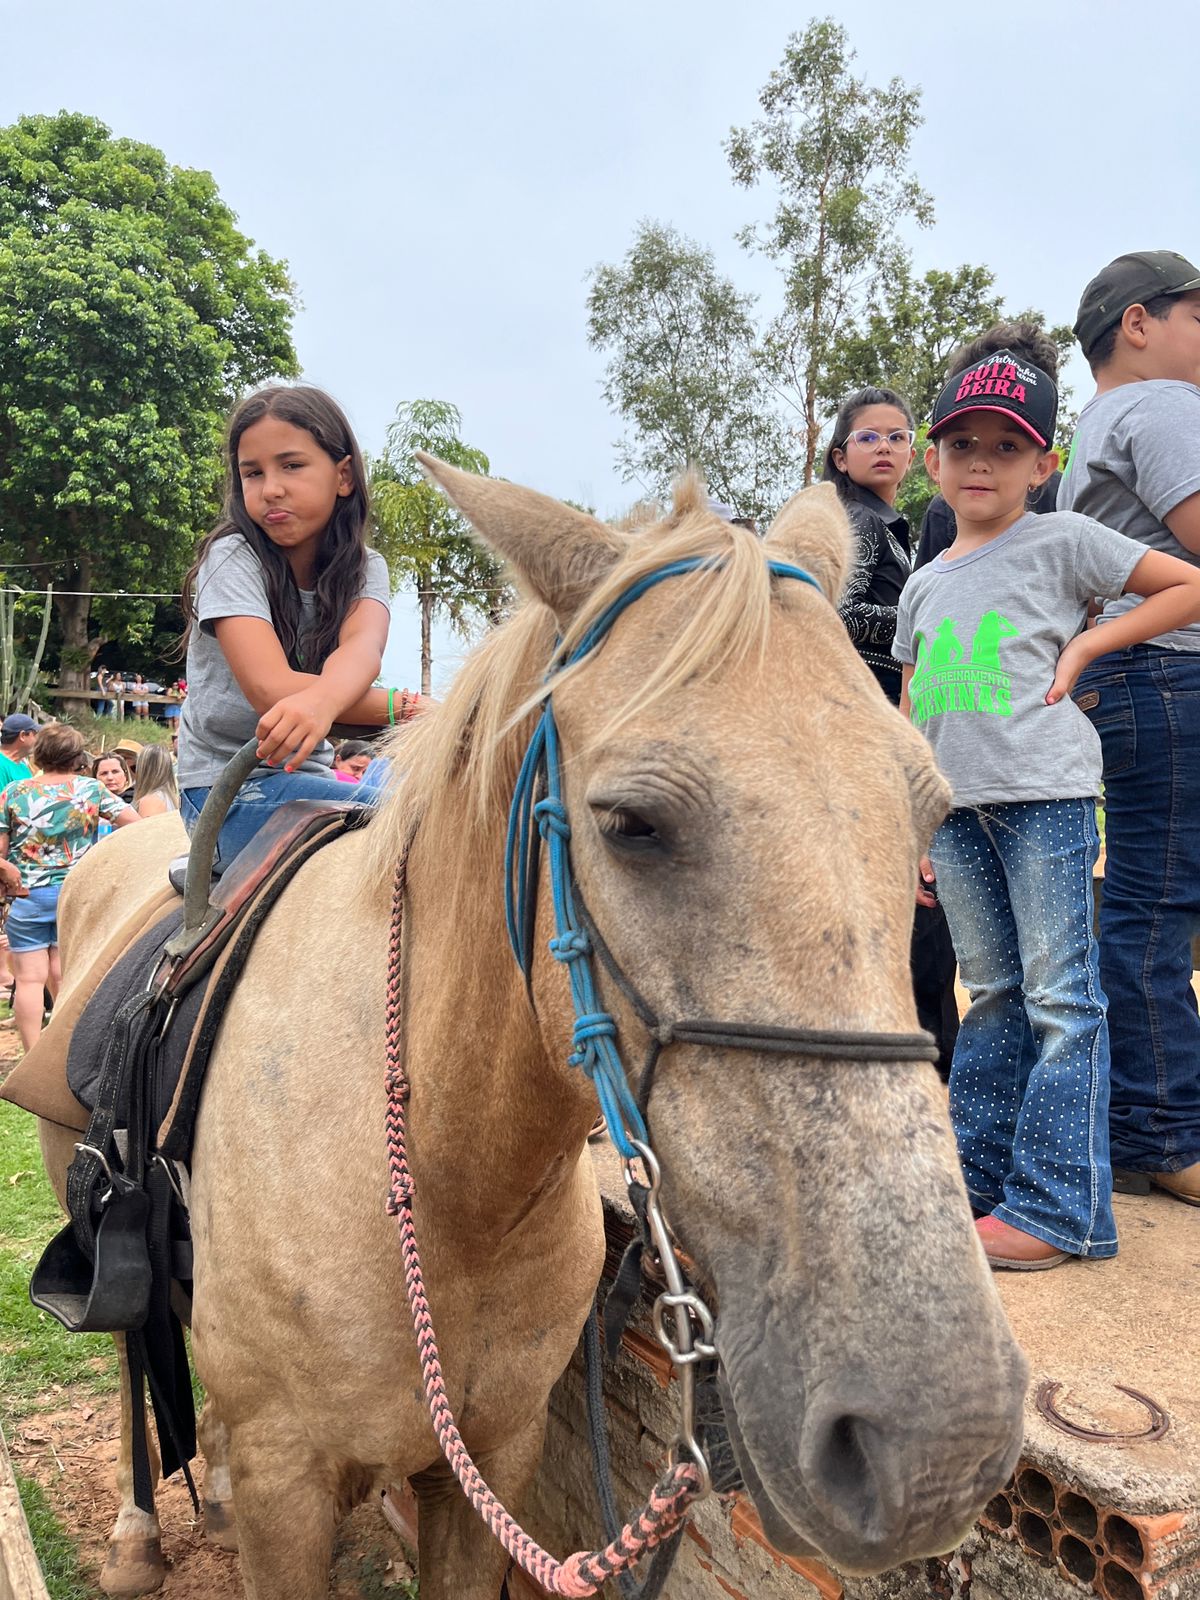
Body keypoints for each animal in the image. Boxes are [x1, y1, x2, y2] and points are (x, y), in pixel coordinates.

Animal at [37, 463, 1027, 1599]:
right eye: (631, 824)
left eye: (928, 813)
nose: (938, 1444)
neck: (444, 1182)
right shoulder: (288, 1476)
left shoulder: (490, 1458)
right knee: (129, 1359)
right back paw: (138, 1529)